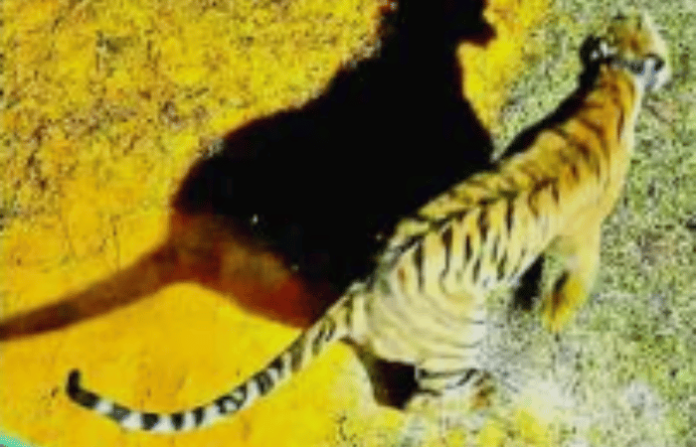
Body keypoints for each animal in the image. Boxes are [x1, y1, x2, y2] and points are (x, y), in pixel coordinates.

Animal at [66, 11, 670, 433]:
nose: (636, 13)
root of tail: (358, 294)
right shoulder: (583, 242)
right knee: (417, 401)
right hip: (463, 335)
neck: (609, 84)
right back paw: (481, 399)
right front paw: (550, 323)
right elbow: (571, 287)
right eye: (653, 36)